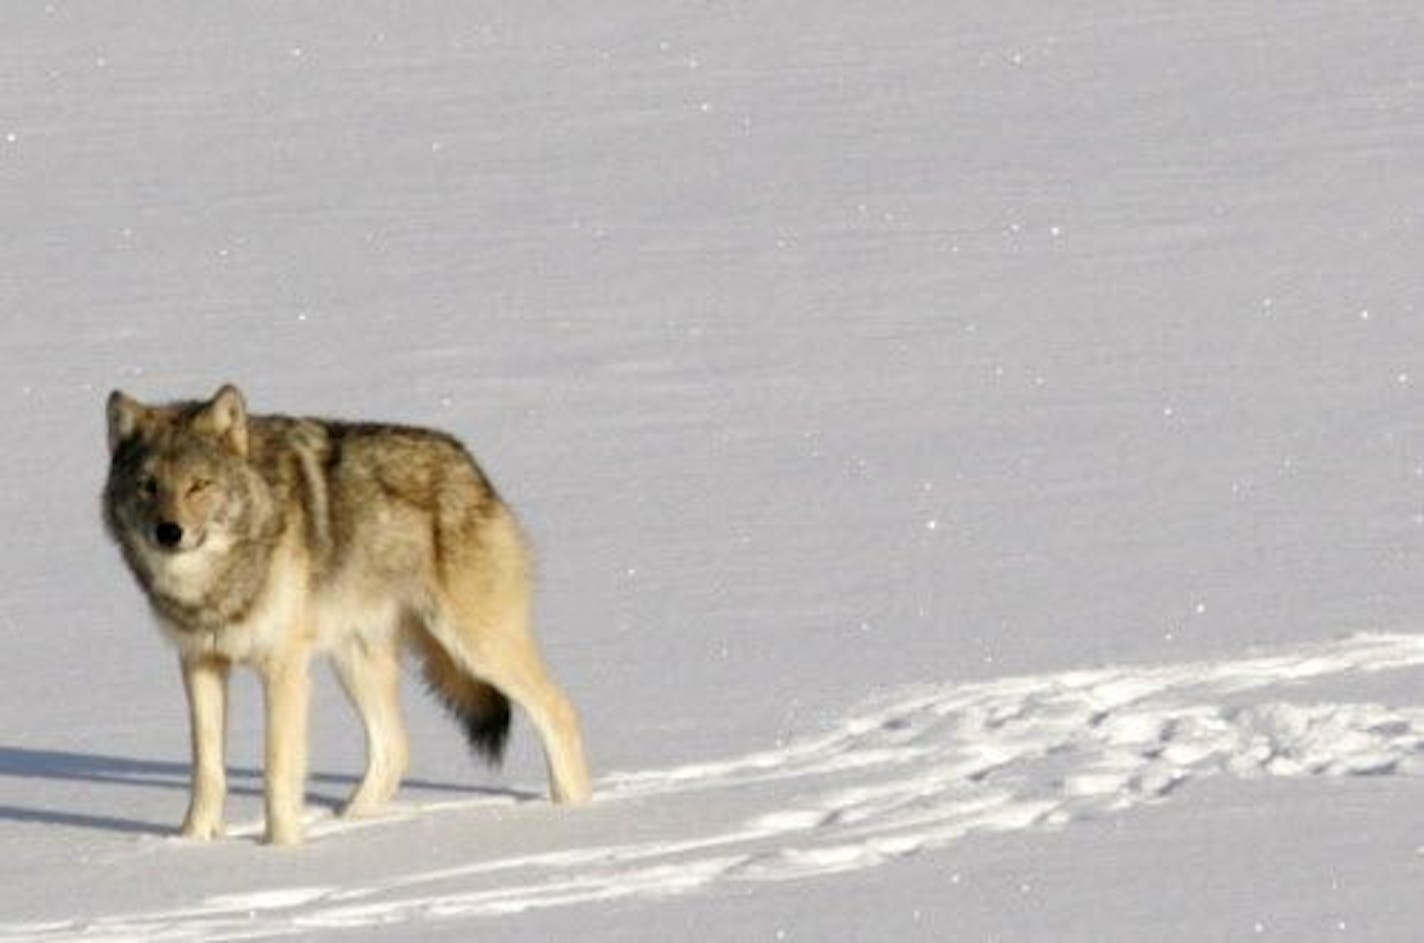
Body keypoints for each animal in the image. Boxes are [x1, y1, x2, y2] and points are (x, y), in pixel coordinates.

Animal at [101, 384, 589, 848]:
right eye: (147, 485)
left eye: (199, 486)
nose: (168, 532)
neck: (214, 583)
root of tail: (470, 464)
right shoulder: (199, 663)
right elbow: (205, 768)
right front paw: (192, 843)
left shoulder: (283, 668)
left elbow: (277, 766)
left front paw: (281, 848)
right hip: (355, 659)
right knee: (394, 748)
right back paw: (349, 821)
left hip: (475, 646)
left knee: (559, 709)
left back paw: (575, 810)